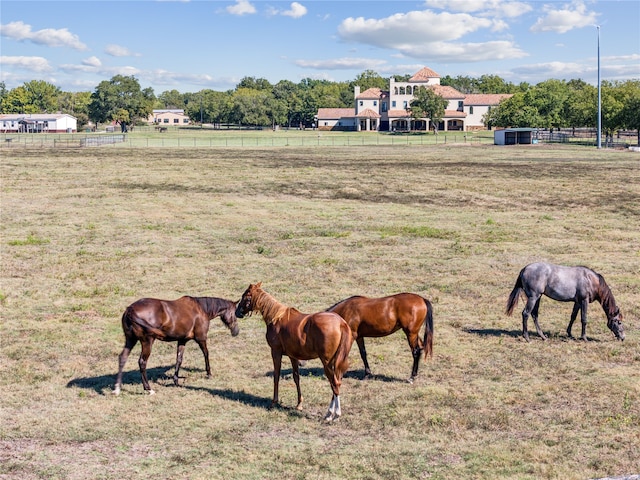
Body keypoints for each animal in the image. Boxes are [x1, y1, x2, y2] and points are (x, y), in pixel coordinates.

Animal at [236, 284, 352, 422]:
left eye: (245, 296)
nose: (237, 312)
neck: (276, 318)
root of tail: (341, 323)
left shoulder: (275, 352)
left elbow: (276, 376)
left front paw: (274, 402)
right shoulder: (293, 356)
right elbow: (296, 378)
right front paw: (299, 404)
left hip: (327, 362)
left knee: (334, 384)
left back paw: (333, 414)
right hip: (336, 361)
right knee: (336, 383)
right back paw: (330, 413)